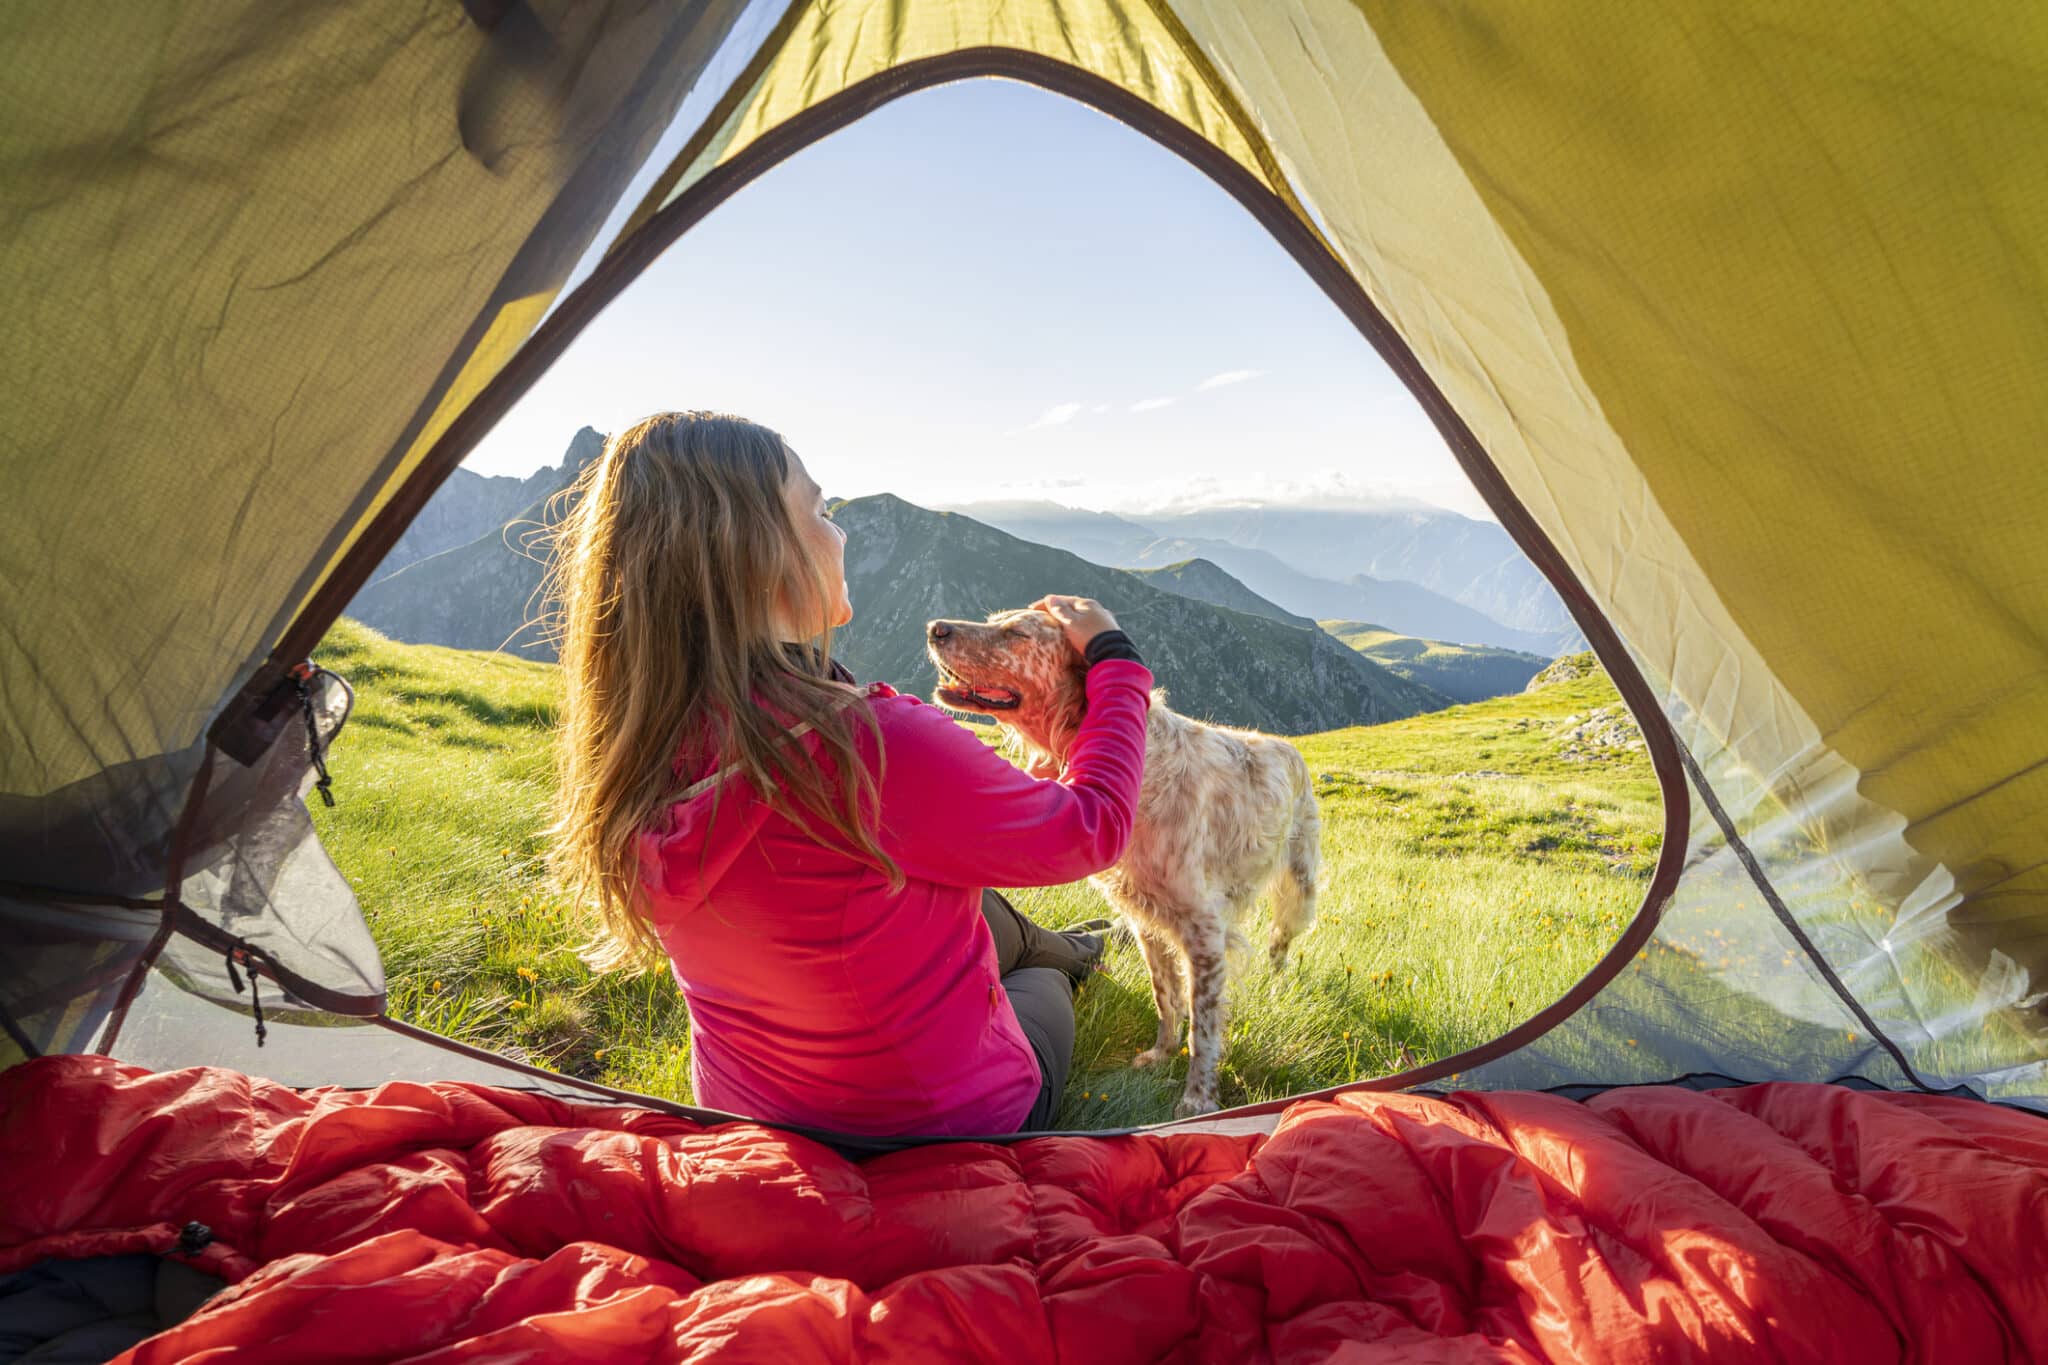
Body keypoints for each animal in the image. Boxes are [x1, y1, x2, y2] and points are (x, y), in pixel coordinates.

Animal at [933, 609, 1327, 1121]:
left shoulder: (1203, 929)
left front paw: (1198, 1099)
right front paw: (1161, 1054)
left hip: (1299, 886)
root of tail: (1288, 747)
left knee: (1281, 941)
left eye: (1017, 632)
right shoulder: (1145, 920)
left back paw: (1277, 982)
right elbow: (1166, 996)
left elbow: (1203, 1028)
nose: (935, 629)